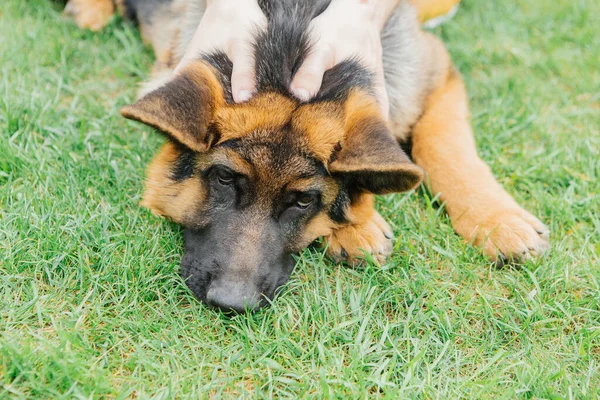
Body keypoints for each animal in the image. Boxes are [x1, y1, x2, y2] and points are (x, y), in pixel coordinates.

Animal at [62, 0, 548, 312]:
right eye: (223, 179)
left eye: (302, 200)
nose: (231, 304)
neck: (289, 41)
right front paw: (359, 223)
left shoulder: (429, 69)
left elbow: (445, 147)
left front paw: (500, 221)